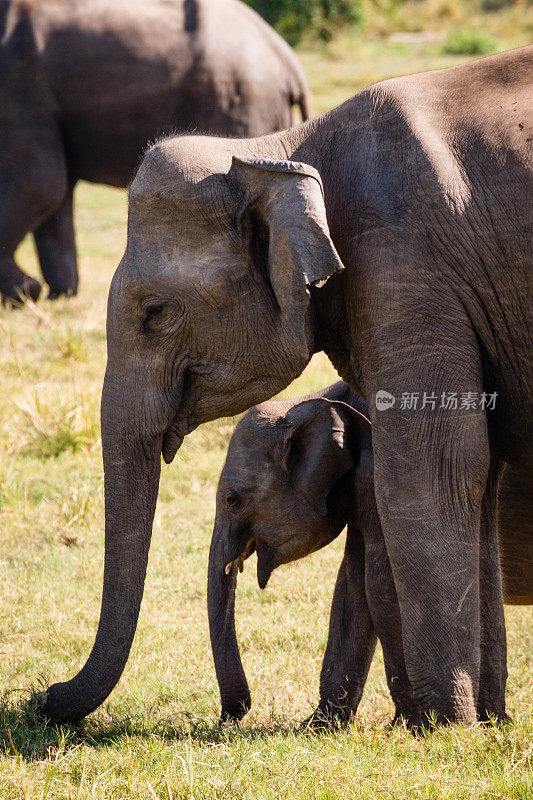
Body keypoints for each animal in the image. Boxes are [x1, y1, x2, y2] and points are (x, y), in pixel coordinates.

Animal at [0, 0, 308, 304]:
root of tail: (288, 61)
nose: (40, 290)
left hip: (239, 101)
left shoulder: (19, 86)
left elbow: (39, 184)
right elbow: (54, 191)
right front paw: (57, 295)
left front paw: (26, 292)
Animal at [208, 382, 420, 724]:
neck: (306, 403)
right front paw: (321, 725)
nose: (232, 716)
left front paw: (415, 723)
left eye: (232, 500)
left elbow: (383, 580)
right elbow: (354, 579)